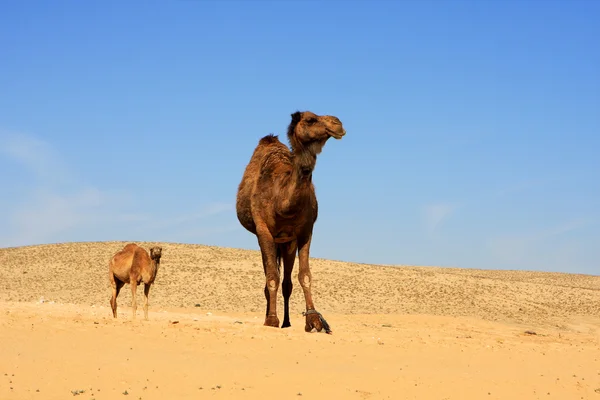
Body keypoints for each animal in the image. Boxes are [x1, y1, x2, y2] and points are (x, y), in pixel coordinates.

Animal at [236, 111, 346, 332]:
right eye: (310, 119)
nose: (338, 123)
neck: (282, 201)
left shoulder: (305, 232)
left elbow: (304, 276)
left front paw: (313, 320)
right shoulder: (263, 231)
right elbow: (272, 278)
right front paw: (271, 319)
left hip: (287, 242)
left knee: (287, 282)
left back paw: (287, 322)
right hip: (267, 239)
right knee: (271, 278)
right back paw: (271, 317)